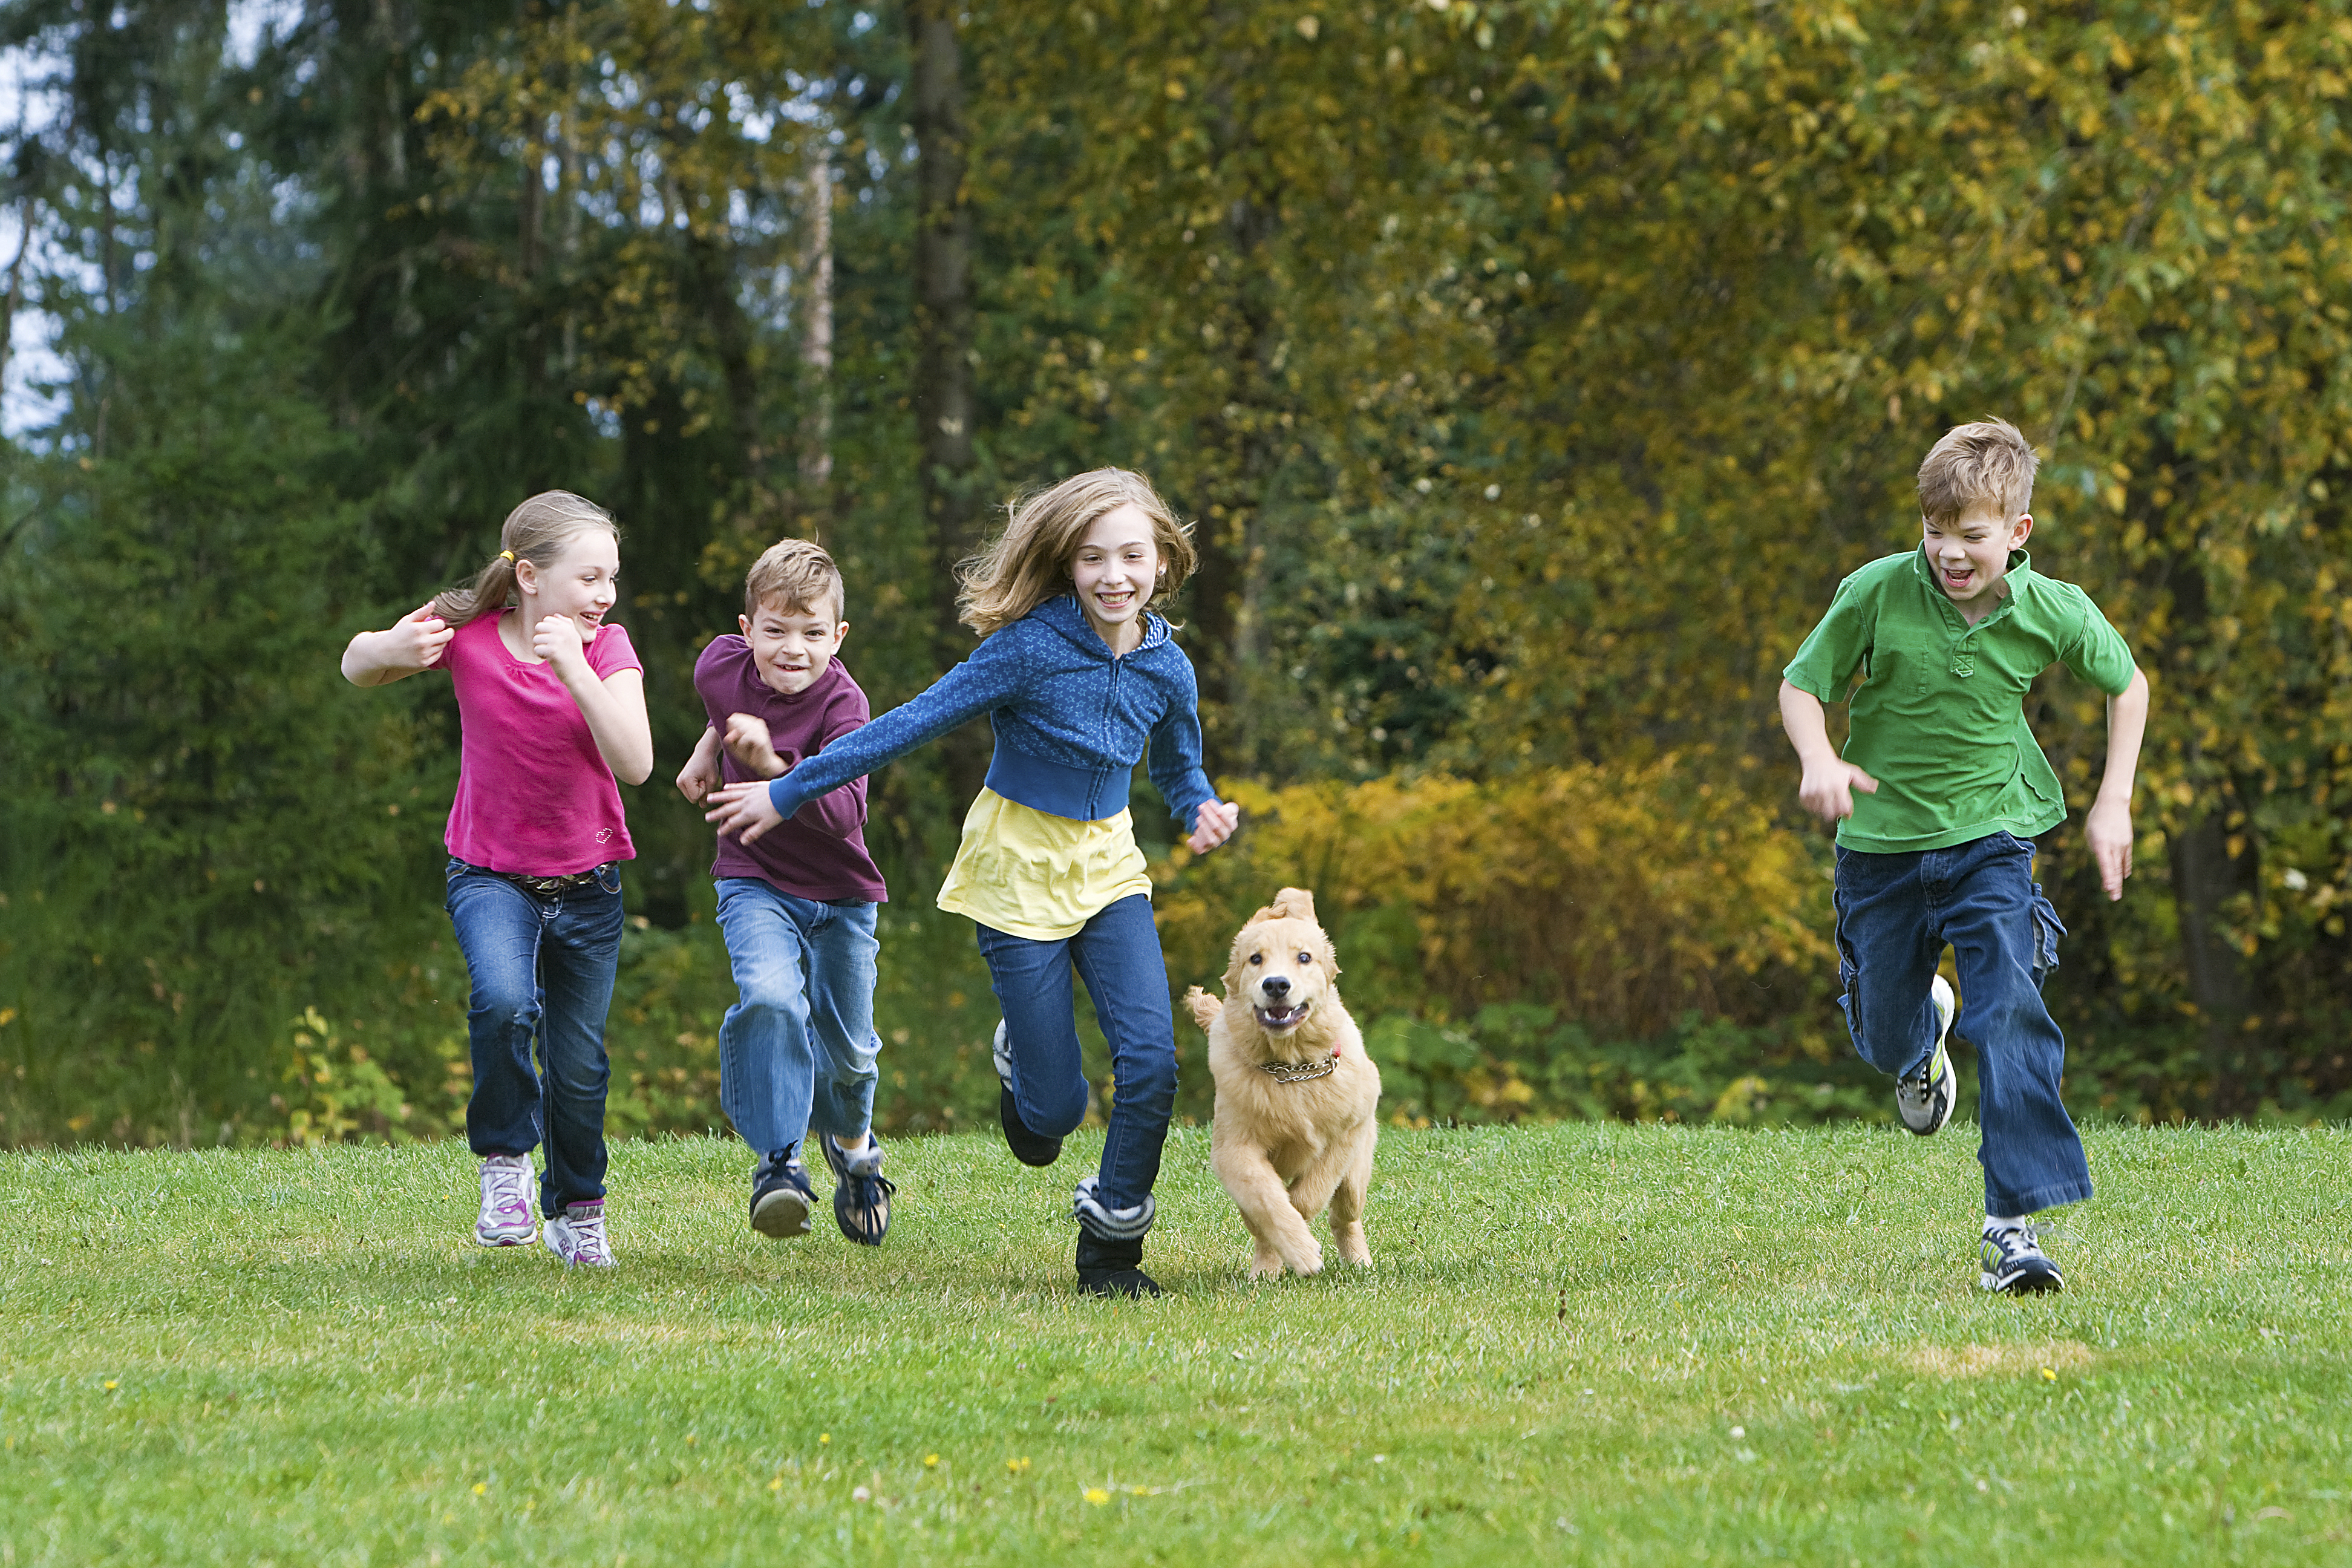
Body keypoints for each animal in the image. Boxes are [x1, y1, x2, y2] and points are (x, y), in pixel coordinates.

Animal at [1185, 888, 1373, 1279]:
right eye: (1256, 959)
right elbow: (1269, 1201)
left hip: (1356, 1172)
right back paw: (1265, 1271)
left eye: (1304, 957)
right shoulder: (1235, 1150)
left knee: (1345, 1214)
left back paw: (1359, 1263)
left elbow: (1308, 1195)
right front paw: (1299, 1253)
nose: (1275, 984)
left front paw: (1303, 1247)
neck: (1292, 1067)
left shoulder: (1347, 1133)